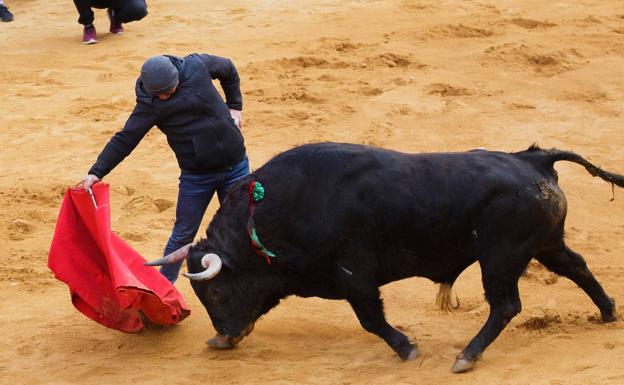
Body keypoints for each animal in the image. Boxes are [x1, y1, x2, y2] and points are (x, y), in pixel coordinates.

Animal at [147, 142, 624, 370]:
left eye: (216, 293)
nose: (224, 337)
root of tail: (535, 160)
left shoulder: (355, 276)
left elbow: (371, 320)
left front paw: (407, 348)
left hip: (501, 256)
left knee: (506, 304)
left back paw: (466, 357)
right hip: (545, 244)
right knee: (576, 266)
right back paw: (606, 313)